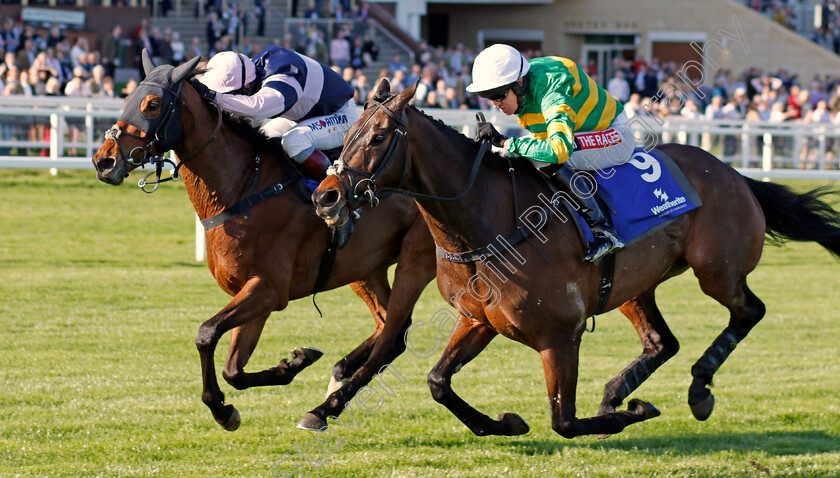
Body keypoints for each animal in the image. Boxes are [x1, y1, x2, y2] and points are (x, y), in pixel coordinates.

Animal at [91, 54, 436, 432]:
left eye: (151, 104)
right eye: (126, 98)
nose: (104, 161)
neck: (242, 187)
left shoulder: (268, 289)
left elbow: (206, 333)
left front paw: (222, 409)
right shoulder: (251, 290)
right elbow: (234, 369)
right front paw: (296, 361)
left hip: (416, 260)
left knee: (396, 331)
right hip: (364, 269)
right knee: (389, 324)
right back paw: (339, 376)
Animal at [312, 79, 840, 440]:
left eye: (378, 137)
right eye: (348, 131)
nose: (326, 197)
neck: (486, 225)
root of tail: (734, 173)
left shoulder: (561, 335)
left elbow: (563, 421)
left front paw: (637, 412)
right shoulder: (478, 319)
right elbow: (438, 381)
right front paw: (504, 422)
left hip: (718, 271)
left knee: (749, 311)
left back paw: (697, 390)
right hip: (633, 287)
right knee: (662, 341)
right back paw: (617, 393)